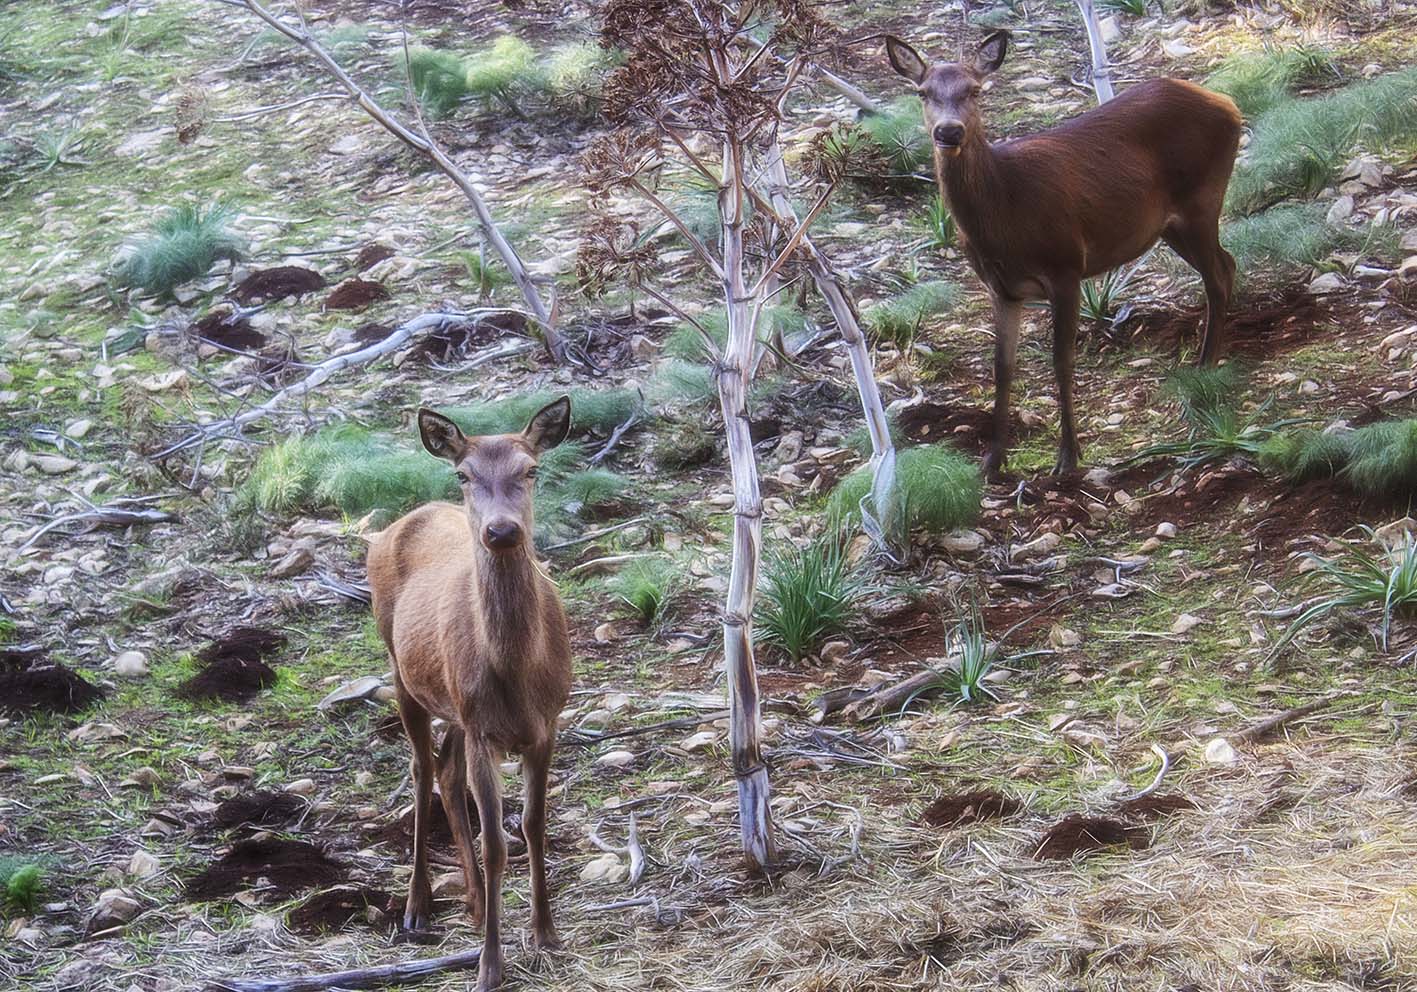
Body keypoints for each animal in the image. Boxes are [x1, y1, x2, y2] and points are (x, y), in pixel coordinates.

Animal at [368, 393, 578, 992]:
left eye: (531, 469)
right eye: (464, 474)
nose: (501, 531)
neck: (518, 671)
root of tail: (393, 526)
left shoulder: (547, 725)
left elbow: (532, 827)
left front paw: (546, 933)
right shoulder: (486, 731)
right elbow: (496, 845)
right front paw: (489, 966)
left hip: (457, 708)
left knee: (446, 768)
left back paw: (477, 904)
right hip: (400, 670)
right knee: (421, 769)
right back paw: (417, 907)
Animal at [884, 31, 1241, 481]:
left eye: (975, 90)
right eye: (923, 92)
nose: (949, 131)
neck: (1006, 211)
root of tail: (1228, 103)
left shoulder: (1067, 266)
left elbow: (1061, 360)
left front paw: (1068, 456)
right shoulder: (1001, 288)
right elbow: (1002, 367)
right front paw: (992, 461)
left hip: (1201, 201)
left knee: (1218, 274)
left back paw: (1204, 368)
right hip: (1170, 225)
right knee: (1227, 263)